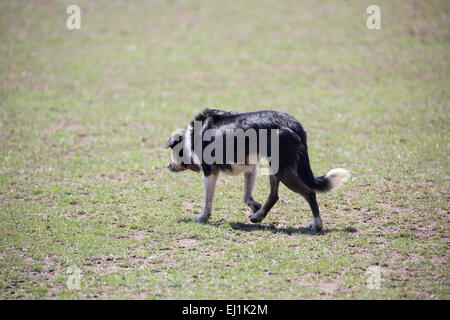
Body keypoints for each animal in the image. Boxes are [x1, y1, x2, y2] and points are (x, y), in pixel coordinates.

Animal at [166, 109, 352, 231]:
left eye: (173, 152)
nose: (169, 167)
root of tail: (294, 124)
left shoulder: (210, 172)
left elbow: (208, 200)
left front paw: (202, 218)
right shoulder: (251, 167)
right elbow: (246, 196)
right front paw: (255, 207)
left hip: (282, 169)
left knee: (309, 193)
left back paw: (317, 224)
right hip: (276, 168)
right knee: (274, 195)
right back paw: (258, 216)